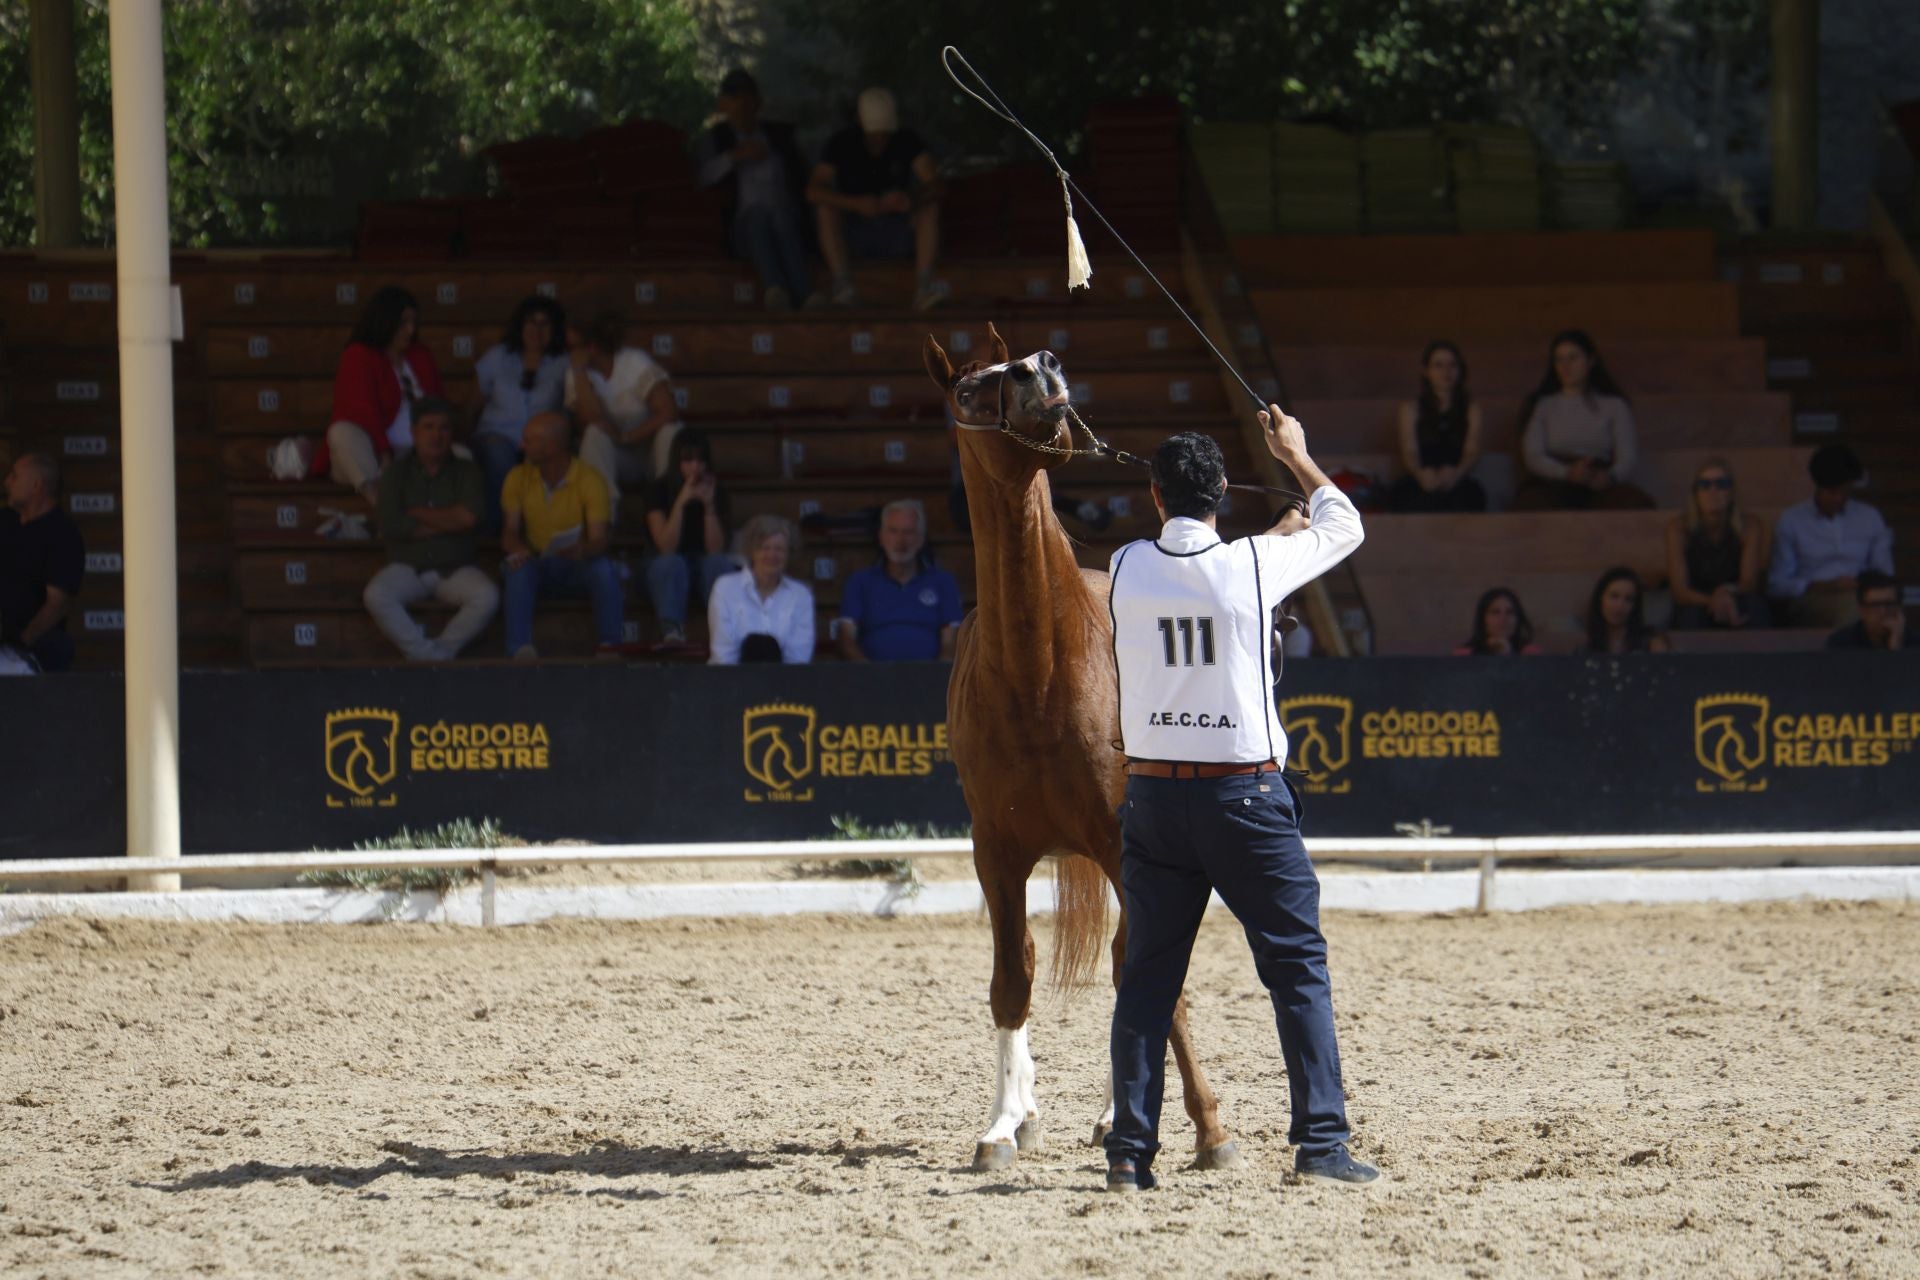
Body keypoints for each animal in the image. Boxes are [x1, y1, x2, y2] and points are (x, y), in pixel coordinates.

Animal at [923, 323, 1242, 1173]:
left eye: (1020, 358)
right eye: (970, 386)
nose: (1043, 369)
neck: (1038, 670)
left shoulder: (1123, 843)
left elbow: (1151, 974)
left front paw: (1207, 1129)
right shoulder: (995, 852)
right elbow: (1013, 977)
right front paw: (1004, 1123)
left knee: (1137, 964)